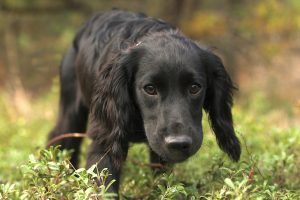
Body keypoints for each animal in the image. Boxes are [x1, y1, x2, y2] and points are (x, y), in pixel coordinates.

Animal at [49, 9, 241, 194]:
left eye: (195, 87)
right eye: (150, 89)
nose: (179, 143)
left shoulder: (161, 153)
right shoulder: (105, 140)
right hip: (71, 113)